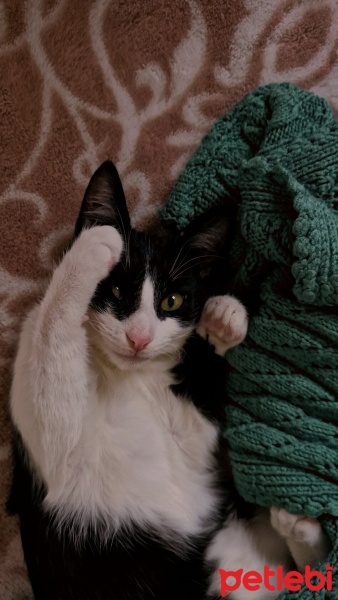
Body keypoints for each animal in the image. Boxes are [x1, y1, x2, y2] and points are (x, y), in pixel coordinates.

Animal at [7, 161, 328, 600]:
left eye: (171, 301)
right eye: (116, 289)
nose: (138, 338)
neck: (128, 378)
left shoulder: (187, 436)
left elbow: (198, 425)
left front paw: (224, 318)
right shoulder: (55, 442)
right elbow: (48, 334)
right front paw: (94, 245)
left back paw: (297, 526)